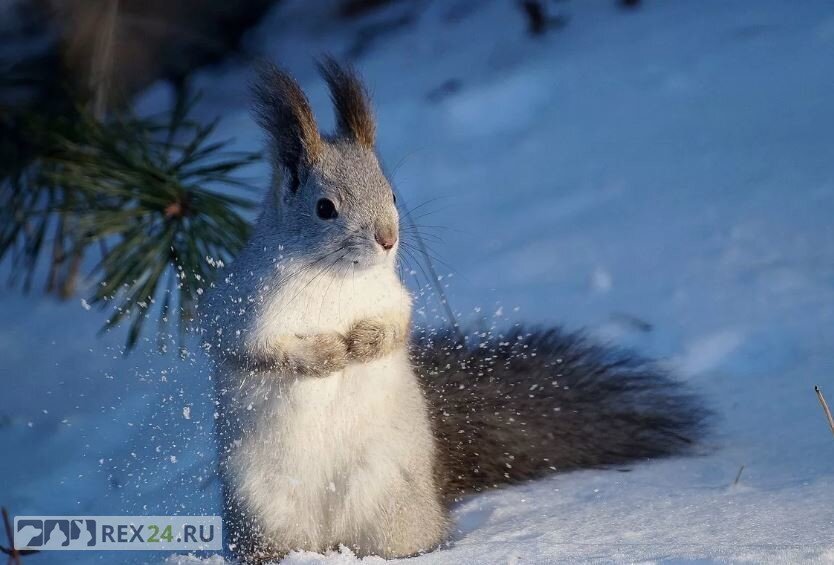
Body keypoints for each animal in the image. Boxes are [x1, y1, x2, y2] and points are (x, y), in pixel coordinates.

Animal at [202, 59, 704, 560]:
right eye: (325, 208)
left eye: (392, 195)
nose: (388, 239)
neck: (336, 280)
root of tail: (333, 539)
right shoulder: (244, 312)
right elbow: (262, 351)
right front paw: (327, 353)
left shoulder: (392, 297)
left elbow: (398, 327)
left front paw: (365, 344)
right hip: (266, 515)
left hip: (391, 501)